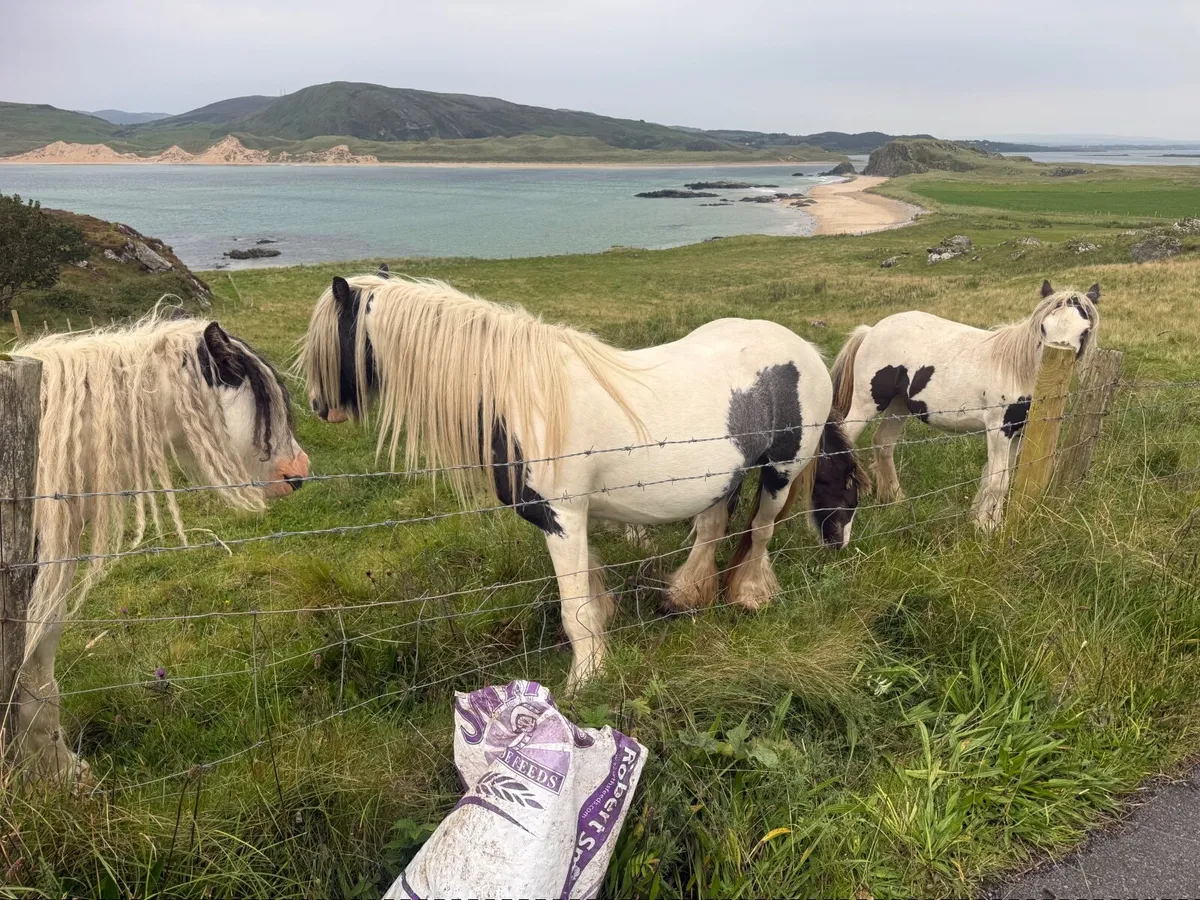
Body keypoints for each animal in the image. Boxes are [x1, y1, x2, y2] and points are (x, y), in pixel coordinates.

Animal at [298, 272, 865, 690]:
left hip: (780, 472)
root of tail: (804, 349)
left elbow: (575, 610)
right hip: (722, 475)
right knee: (711, 530)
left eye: (331, 340)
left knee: (760, 533)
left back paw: (747, 595)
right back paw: (684, 597)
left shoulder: (563, 519)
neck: (523, 397)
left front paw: (584, 681)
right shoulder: (572, 520)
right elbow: (589, 592)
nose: (318, 407)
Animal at [829, 279, 1100, 530]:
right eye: (1043, 327)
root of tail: (871, 330)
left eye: (1084, 331)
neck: (1018, 370)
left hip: (899, 406)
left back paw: (895, 499)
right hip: (866, 404)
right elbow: (998, 481)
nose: (1054, 370)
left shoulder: (1018, 433)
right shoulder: (999, 429)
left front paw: (984, 521)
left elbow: (995, 477)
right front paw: (987, 528)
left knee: (883, 443)